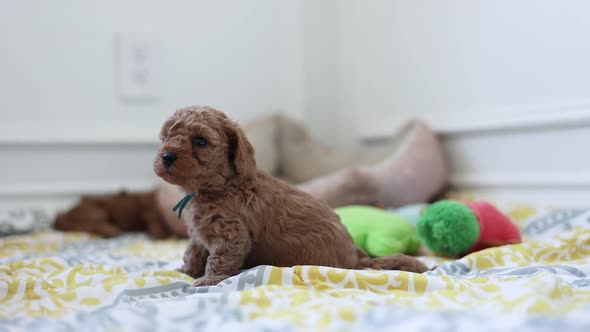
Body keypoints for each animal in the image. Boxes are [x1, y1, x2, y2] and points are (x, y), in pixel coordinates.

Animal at [155, 105, 428, 286]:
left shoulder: (232, 233)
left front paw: (209, 279)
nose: (167, 156)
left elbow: (219, 257)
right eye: (166, 137)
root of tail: (357, 258)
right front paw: (186, 270)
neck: (218, 187)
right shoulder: (199, 232)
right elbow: (194, 251)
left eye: (200, 141)